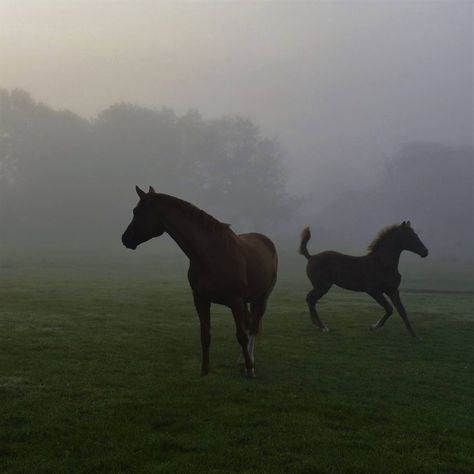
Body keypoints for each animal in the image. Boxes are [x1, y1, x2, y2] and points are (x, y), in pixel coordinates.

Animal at [121, 187, 278, 376]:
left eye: (136, 212)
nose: (125, 239)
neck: (210, 255)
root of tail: (266, 240)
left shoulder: (235, 301)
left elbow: (241, 335)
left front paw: (249, 368)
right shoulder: (201, 299)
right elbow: (205, 335)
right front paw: (205, 370)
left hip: (262, 298)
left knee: (252, 328)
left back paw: (250, 363)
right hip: (246, 301)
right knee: (248, 324)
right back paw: (241, 360)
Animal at [300, 220, 430, 338]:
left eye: (416, 235)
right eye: (411, 237)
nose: (425, 252)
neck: (383, 263)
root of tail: (311, 257)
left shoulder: (392, 290)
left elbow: (402, 311)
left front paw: (415, 335)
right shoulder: (374, 291)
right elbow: (389, 309)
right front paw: (374, 327)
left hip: (320, 286)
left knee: (309, 298)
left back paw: (318, 325)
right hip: (322, 286)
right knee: (311, 299)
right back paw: (322, 326)